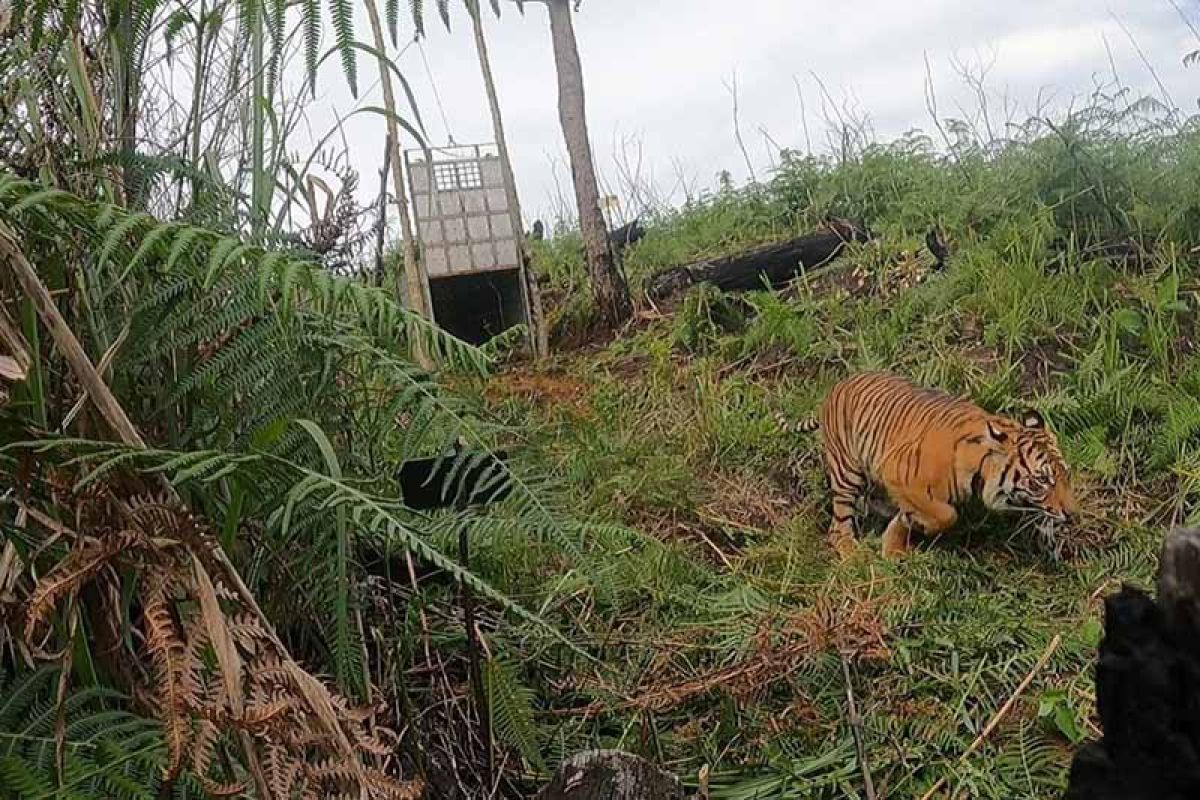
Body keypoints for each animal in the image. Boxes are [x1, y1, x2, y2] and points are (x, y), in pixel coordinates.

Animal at [787, 371, 1080, 561]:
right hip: (847, 471)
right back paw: (852, 555)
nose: (1072, 514)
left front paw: (895, 544)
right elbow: (945, 514)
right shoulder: (897, 472)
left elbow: (910, 516)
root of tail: (837, 386)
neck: (980, 471)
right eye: (1041, 481)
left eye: (1065, 476)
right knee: (837, 527)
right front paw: (918, 527)